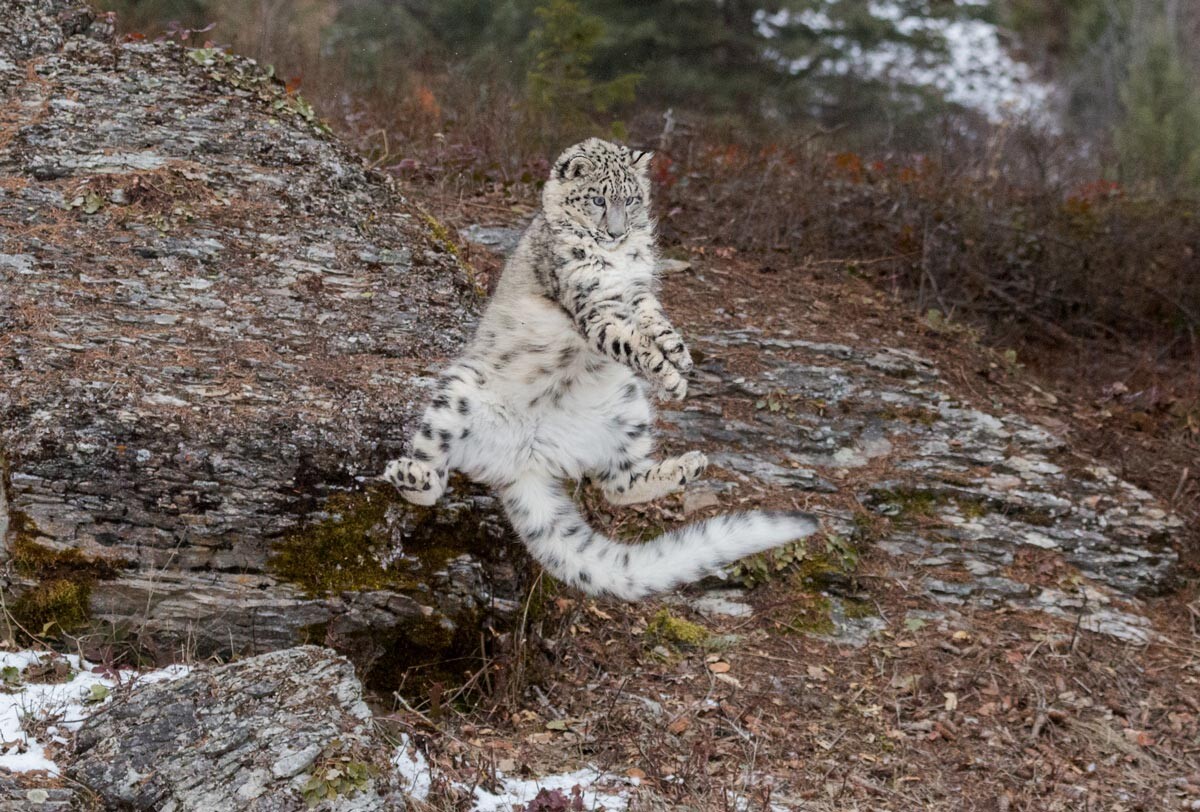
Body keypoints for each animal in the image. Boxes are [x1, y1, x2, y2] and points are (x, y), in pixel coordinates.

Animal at [384, 136, 816, 599]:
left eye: (631, 199)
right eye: (597, 199)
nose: (616, 232)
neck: (618, 260)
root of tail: (527, 461)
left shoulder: (639, 292)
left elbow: (656, 323)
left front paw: (679, 358)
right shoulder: (595, 307)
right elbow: (631, 342)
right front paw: (668, 375)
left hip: (628, 409)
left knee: (618, 484)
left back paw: (688, 464)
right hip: (459, 392)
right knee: (435, 479)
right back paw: (409, 474)